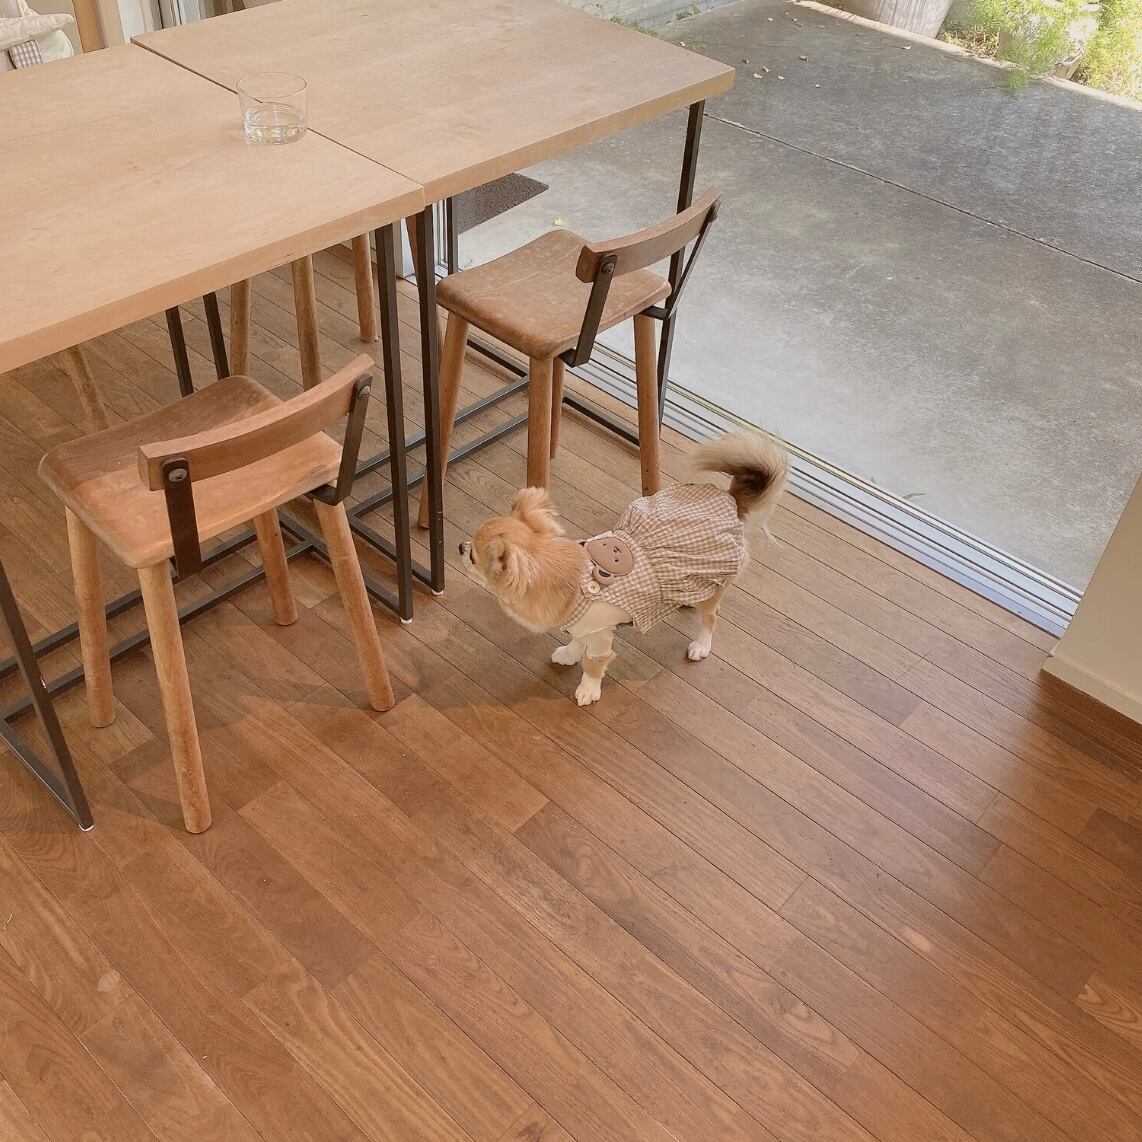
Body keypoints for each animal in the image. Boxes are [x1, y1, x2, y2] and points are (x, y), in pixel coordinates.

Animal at [459, 430, 789, 706]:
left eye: (473, 556)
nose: (460, 546)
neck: (576, 587)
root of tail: (730, 500)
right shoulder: (583, 625)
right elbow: (577, 640)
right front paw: (568, 654)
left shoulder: (601, 634)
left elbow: (594, 662)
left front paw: (588, 689)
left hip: (712, 588)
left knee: (712, 617)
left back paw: (700, 646)